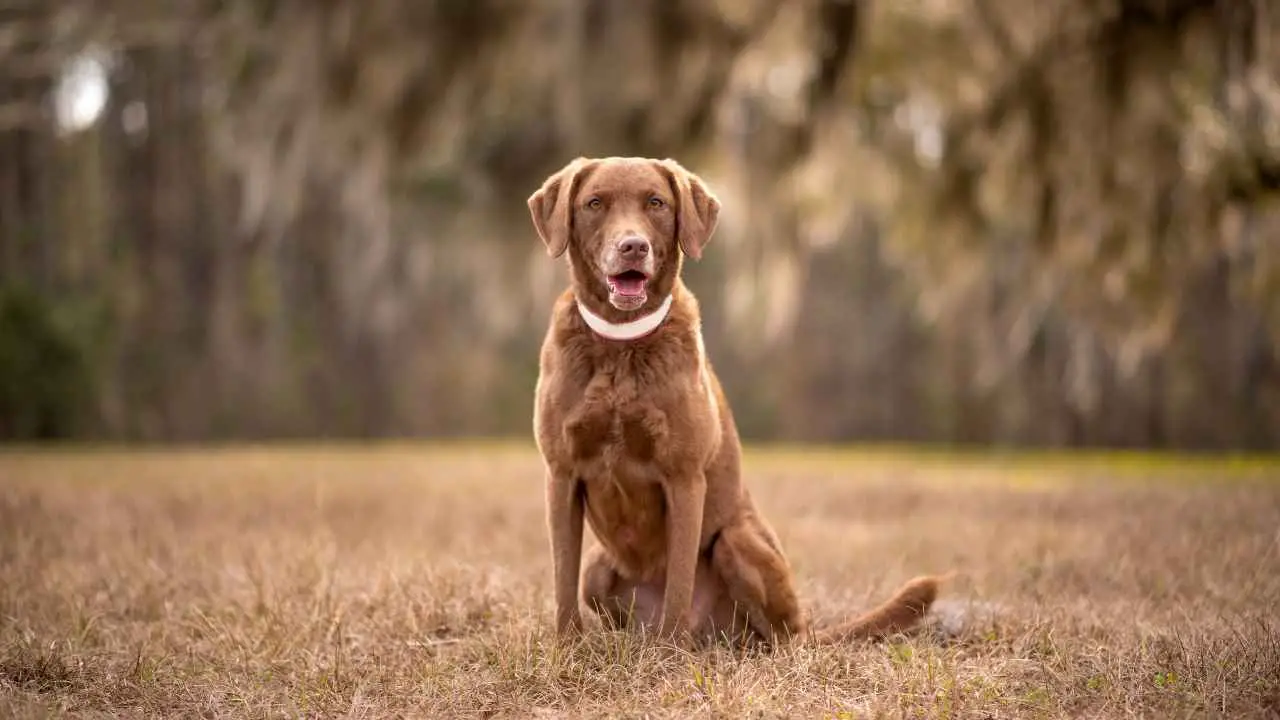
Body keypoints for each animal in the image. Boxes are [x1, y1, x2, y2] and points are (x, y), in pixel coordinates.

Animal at [527, 156, 942, 645]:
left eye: (656, 203)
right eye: (594, 203)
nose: (633, 247)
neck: (621, 347)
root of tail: (715, 635)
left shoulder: (684, 477)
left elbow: (680, 579)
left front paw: (668, 654)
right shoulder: (561, 473)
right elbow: (562, 575)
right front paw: (566, 647)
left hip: (737, 541)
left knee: (780, 638)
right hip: (598, 567)